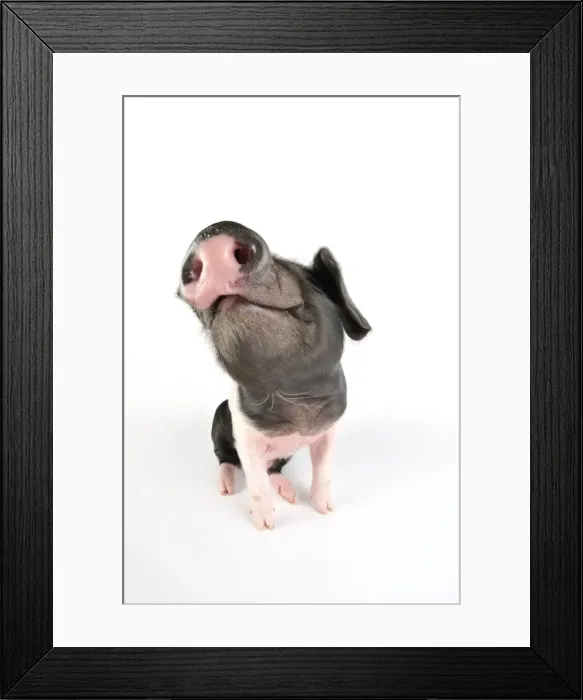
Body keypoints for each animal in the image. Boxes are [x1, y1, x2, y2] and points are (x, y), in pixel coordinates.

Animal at [177, 221, 371, 530]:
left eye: (302, 275)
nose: (214, 230)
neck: (291, 394)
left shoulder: (331, 427)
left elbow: (323, 467)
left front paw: (325, 510)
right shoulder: (244, 434)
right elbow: (255, 480)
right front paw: (266, 526)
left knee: (274, 468)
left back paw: (289, 493)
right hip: (218, 422)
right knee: (225, 459)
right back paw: (227, 487)